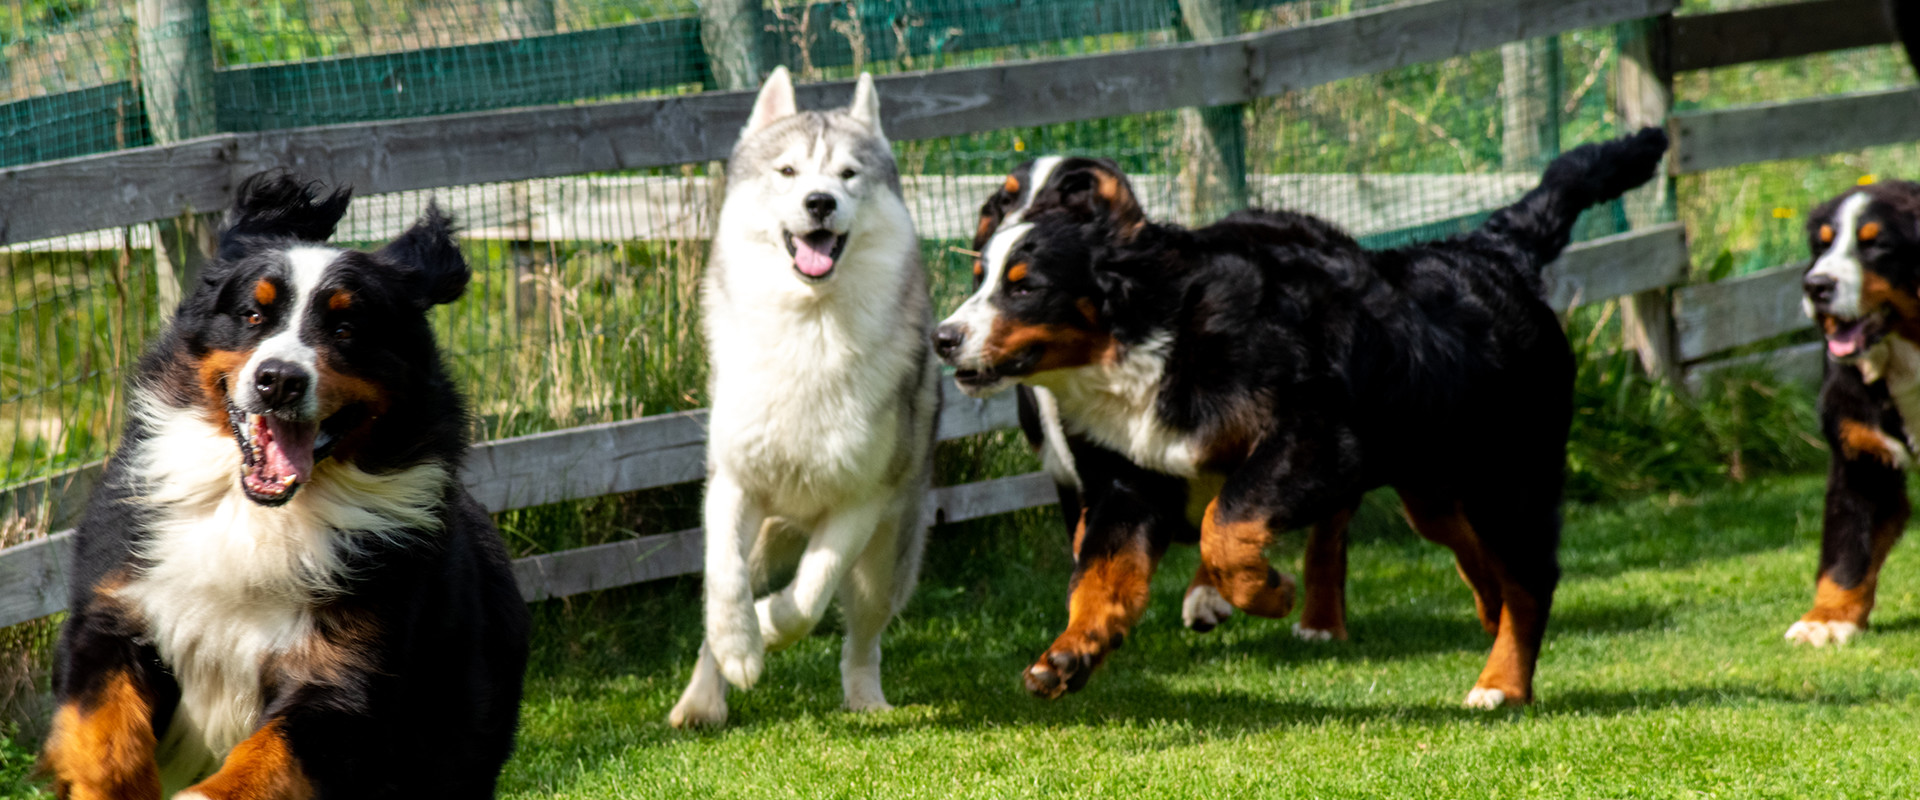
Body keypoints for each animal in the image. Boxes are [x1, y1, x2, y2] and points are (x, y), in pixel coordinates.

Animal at [43, 171, 526, 794]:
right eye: (254, 315)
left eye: (346, 328)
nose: (279, 380)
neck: (259, 517)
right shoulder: (114, 613)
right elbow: (102, 734)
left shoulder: (342, 680)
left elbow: (262, 761)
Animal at [672, 68, 940, 725]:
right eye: (788, 171)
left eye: (848, 174)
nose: (820, 202)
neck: (809, 331)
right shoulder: (731, 484)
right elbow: (723, 581)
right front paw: (739, 646)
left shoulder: (859, 502)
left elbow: (809, 597)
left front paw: (767, 626)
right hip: (770, 531)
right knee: (720, 604)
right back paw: (701, 701)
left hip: (886, 561)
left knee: (863, 636)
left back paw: (866, 698)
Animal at [936, 126, 1674, 705]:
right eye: (979, 276)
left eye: (1024, 287)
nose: (944, 337)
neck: (1149, 337)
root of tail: (1492, 251)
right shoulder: (1125, 485)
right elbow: (1098, 579)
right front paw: (1070, 654)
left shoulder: (1315, 441)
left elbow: (1224, 527)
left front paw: (1268, 591)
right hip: (1432, 486)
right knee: (1475, 555)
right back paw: (1485, 620)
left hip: (1509, 479)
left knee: (1530, 580)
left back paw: (1502, 684)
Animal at [1781, 179, 1920, 640]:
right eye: (1822, 246)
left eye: (1876, 244)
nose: (1816, 285)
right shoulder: (1862, 462)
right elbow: (1845, 549)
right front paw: (1826, 619)